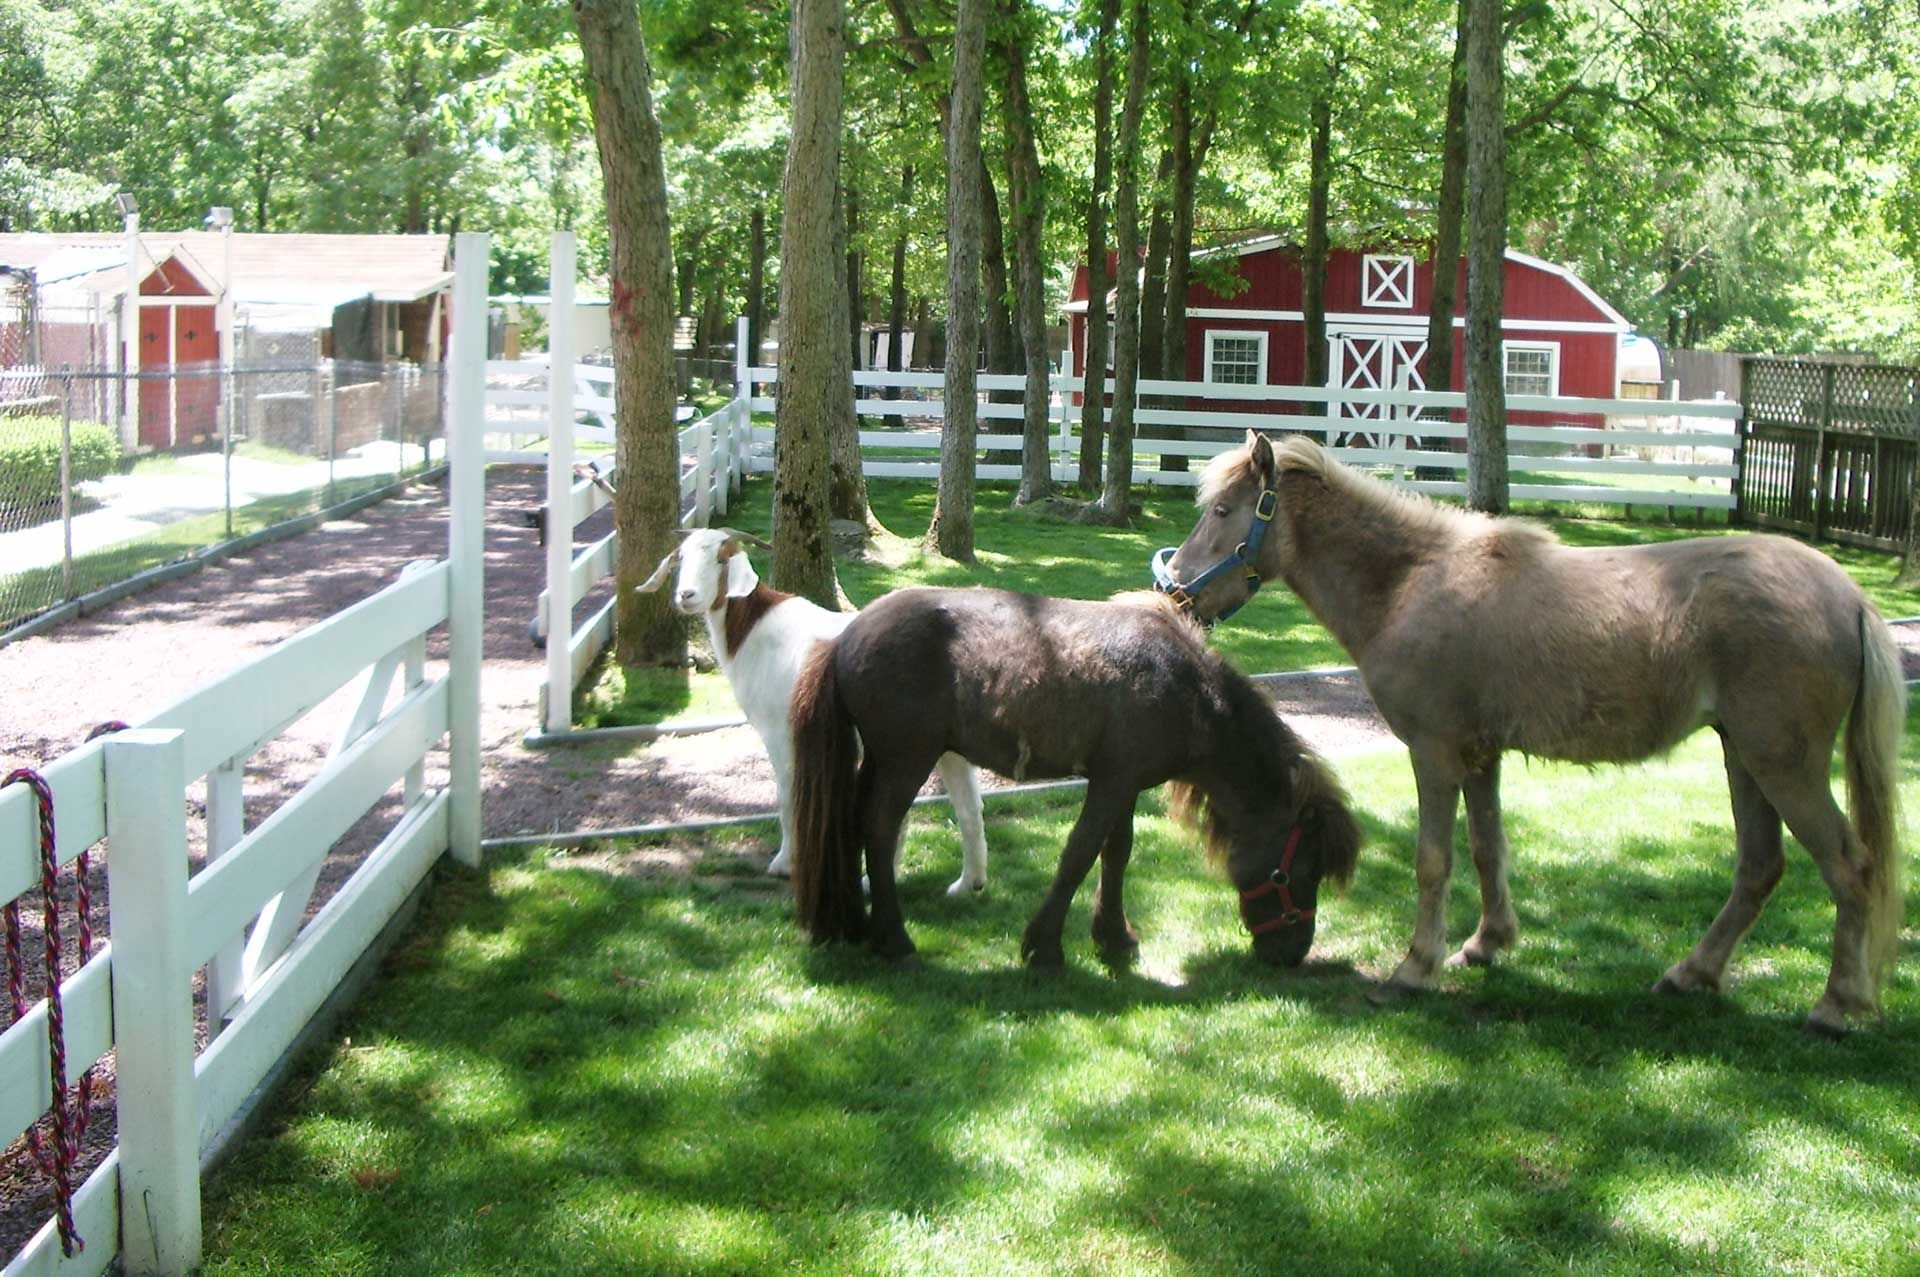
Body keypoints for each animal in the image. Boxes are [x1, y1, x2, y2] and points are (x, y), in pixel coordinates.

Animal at [788, 586, 1361, 969]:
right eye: (1293, 875)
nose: (1291, 952)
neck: (1187, 690)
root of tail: (844, 638)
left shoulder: (1125, 784)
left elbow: (1117, 852)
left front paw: (1114, 936)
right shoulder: (1110, 783)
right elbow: (1080, 853)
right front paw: (1045, 946)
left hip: (881, 762)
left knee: (853, 824)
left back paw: (857, 923)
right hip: (906, 761)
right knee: (879, 829)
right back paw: (894, 939)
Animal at [1155, 429, 1905, 1034]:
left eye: (1221, 511)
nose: (1174, 591)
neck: (1407, 582)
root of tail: (1849, 597)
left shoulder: (1433, 754)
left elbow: (1434, 860)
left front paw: (1415, 967)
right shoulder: (1480, 756)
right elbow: (1488, 848)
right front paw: (1486, 943)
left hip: (1783, 764)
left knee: (1850, 867)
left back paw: (1835, 1005)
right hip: (1744, 758)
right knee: (1759, 867)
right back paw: (1691, 974)